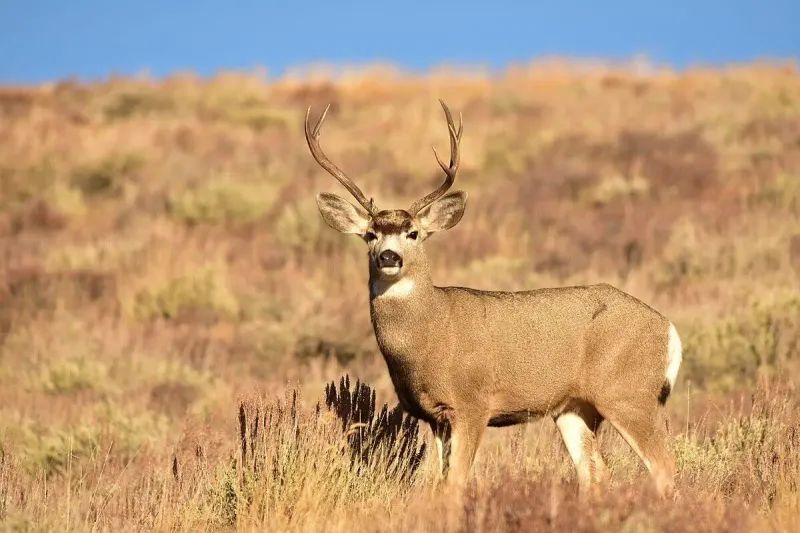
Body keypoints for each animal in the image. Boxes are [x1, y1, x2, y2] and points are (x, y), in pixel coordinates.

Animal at [304, 98, 684, 494]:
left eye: (413, 233)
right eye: (370, 235)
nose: (389, 257)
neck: (431, 334)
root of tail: (668, 328)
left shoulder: (473, 403)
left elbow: (455, 482)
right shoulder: (434, 416)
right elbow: (439, 481)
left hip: (628, 393)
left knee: (664, 467)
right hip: (575, 408)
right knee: (596, 473)